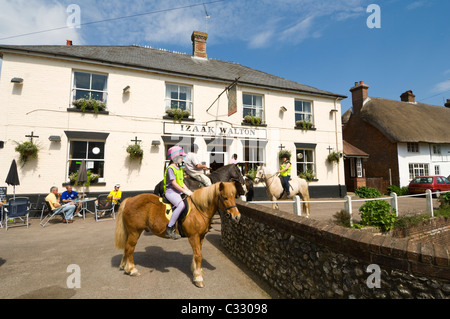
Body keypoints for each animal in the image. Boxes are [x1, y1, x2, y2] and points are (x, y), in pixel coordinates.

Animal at [114, 181, 244, 288]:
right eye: (225, 197)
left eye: (234, 196)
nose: (237, 217)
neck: (199, 208)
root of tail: (129, 199)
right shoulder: (193, 237)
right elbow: (198, 255)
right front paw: (198, 278)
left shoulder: (200, 236)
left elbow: (197, 253)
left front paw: (196, 271)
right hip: (135, 232)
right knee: (129, 248)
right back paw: (132, 270)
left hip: (130, 232)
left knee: (126, 248)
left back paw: (124, 267)